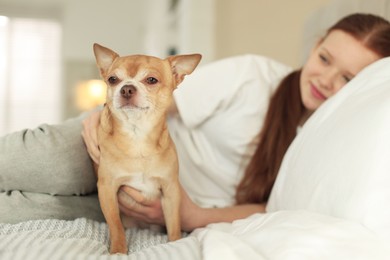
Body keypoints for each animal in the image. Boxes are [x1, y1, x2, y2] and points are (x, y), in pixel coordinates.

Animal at [92, 43, 201, 254]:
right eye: (112, 79)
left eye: (151, 80)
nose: (126, 89)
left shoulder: (170, 190)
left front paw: (175, 243)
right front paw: (118, 250)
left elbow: (174, 224)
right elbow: (115, 225)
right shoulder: (107, 189)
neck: (137, 137)